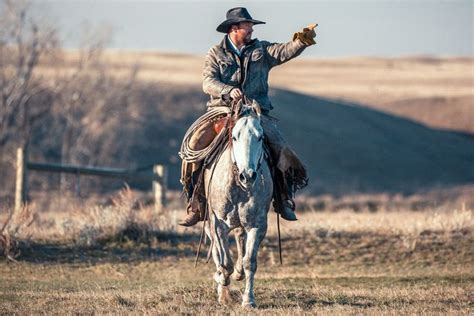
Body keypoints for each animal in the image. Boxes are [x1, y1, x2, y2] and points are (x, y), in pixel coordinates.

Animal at [202, 102, 272, 308]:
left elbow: (250, 262)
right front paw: (221, 280)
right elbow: (225, 263)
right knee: (217, 252)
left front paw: (249, 300)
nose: (247, 176)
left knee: (240, 239)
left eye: (260, 136)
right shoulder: (218, 224)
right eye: (234, 136)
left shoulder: (257, 225)